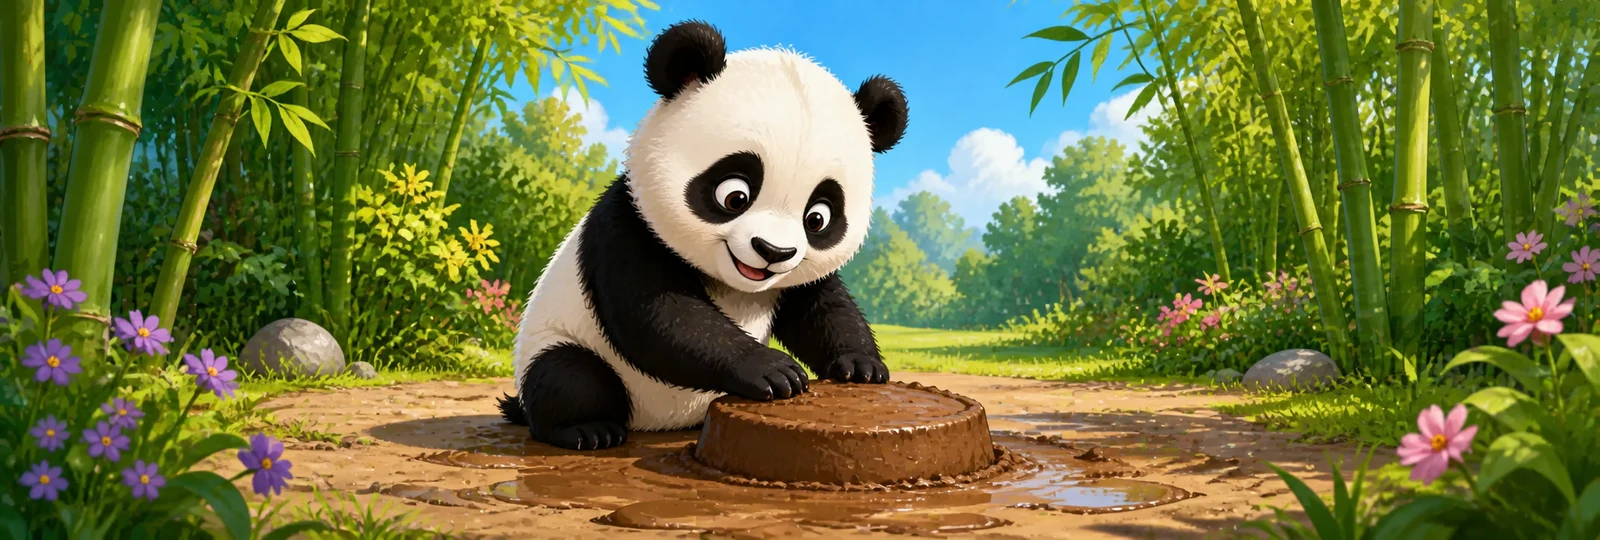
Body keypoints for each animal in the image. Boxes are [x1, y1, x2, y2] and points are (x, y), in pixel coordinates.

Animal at [495, 20, 910, 451]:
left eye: (818, 218)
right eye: (734, 196)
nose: (772, 251)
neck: (738, 284)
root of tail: (655, 424)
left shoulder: (795, 278)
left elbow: (823, 309)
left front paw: (860, 365)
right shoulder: (627, 227)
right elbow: (660, 316)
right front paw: (774, 371)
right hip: (560, 341)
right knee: (570, 377)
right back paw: (588, 430)